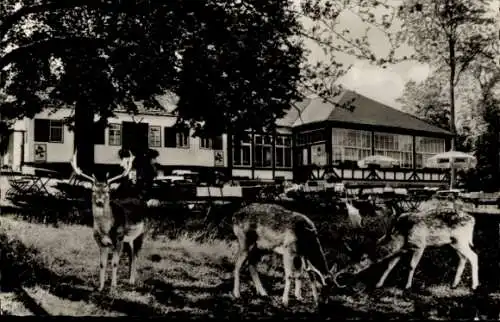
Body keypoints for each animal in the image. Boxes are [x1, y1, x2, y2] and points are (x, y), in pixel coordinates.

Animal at [70, 151, 146, 292]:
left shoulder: (118, 239)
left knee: (135, 255)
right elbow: (102, 264)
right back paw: (128, 278)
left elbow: (115, 263)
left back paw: (132, 281)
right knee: (130, 254)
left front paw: (113, 287)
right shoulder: (100, 242)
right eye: (93, 190)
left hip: (141, 233)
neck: (106, 230)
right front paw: (100, 287)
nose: (99, 201)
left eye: (108, 191)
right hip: (128, 239)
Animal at [334, 203, 478, 294]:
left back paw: (474, 286)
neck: (401, 237)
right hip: (453, 243)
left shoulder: (420, 245)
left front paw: (407, 286)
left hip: (461, 240)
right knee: (463, 258)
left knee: (474, 256)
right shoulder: (401, 251)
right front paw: (378, 284)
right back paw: (454, 284)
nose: (340, 276)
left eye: (359, 261)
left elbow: (411, 265)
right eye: (351, 258)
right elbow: (389, 266)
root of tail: (473, 220)